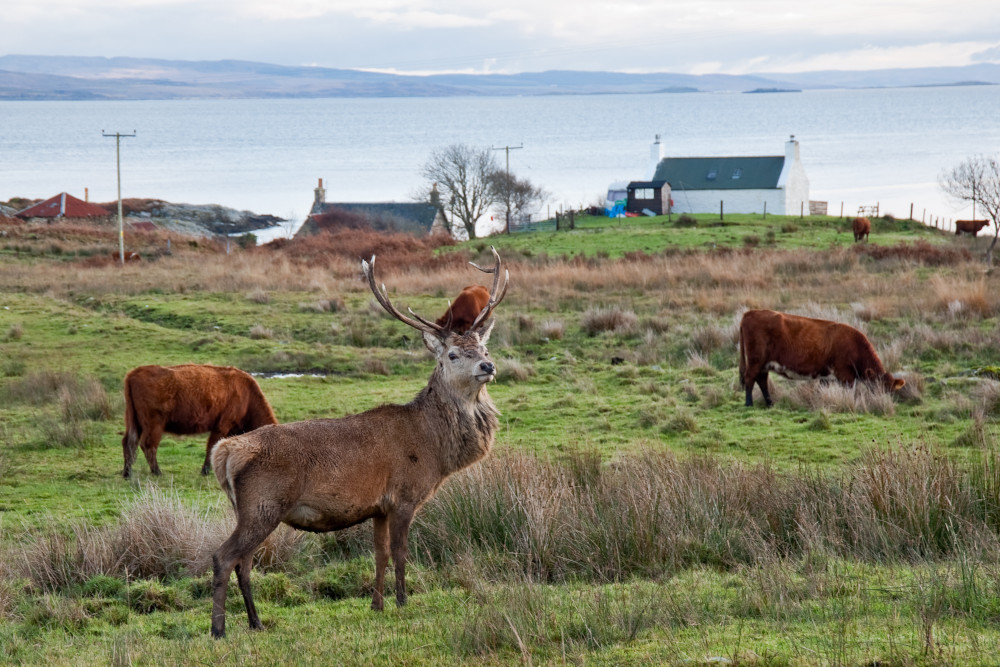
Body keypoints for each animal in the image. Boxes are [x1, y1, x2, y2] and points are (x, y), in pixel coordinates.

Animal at [121, 362, 278, 478]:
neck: (247, 395)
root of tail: (134, 373)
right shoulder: (221, 426)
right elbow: (212, 446)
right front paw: (205, 471)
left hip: (134, 422)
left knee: (129, 442)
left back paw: (127, 473)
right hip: (154, 425)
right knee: (148, 445)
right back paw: (157, 472)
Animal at [736, 308, 908, 408]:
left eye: (890, 391)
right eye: (876, 387)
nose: (884, 402)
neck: (854, 344)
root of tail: (751, 312)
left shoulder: (826, 376)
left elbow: (821, 390)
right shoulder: (846, 375)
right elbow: (849, 391)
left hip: (764, 363)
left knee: (762, 380)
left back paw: (770, 403)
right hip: (755, 360)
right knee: (750, 378)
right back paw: (749, 403)